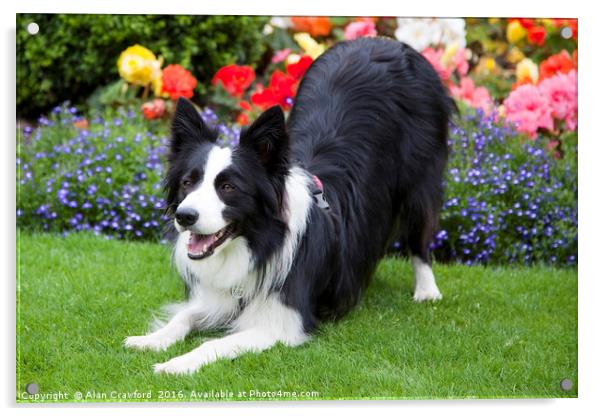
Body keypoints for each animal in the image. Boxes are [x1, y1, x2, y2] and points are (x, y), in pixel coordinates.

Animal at [124, 37, 450, 374]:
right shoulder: (219, 298)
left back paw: (427, 290)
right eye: (188, 182)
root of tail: (386, 42)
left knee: (420, 232)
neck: (258, 242)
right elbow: (184, 316)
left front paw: (177, 364)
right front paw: (152, 340)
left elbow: (215, 343)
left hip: (421, 177)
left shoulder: (284, 322)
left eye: (228, 187)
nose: (184, 216)